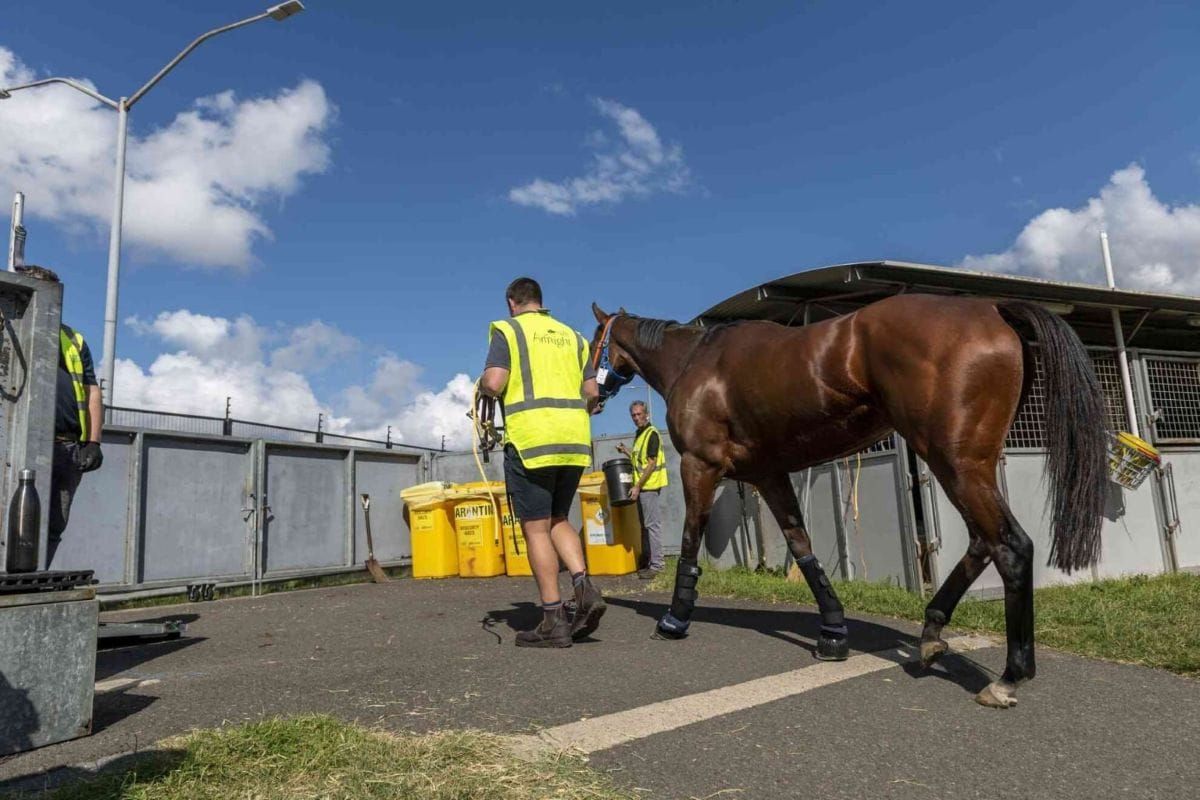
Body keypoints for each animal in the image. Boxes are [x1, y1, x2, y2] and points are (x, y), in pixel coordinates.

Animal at [588, 293, 1108, 708]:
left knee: (1010, 547)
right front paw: (833, 632)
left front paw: (675, 618)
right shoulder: (768, 475)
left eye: (592, 342)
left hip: (956, 462)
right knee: (983, 542)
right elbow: (801, 546)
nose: (590, 393)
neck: (697, 361)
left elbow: (691, 539)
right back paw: (931, 634)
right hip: (961, 465)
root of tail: (992, 308)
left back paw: (1008, 677)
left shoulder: (699, 467)